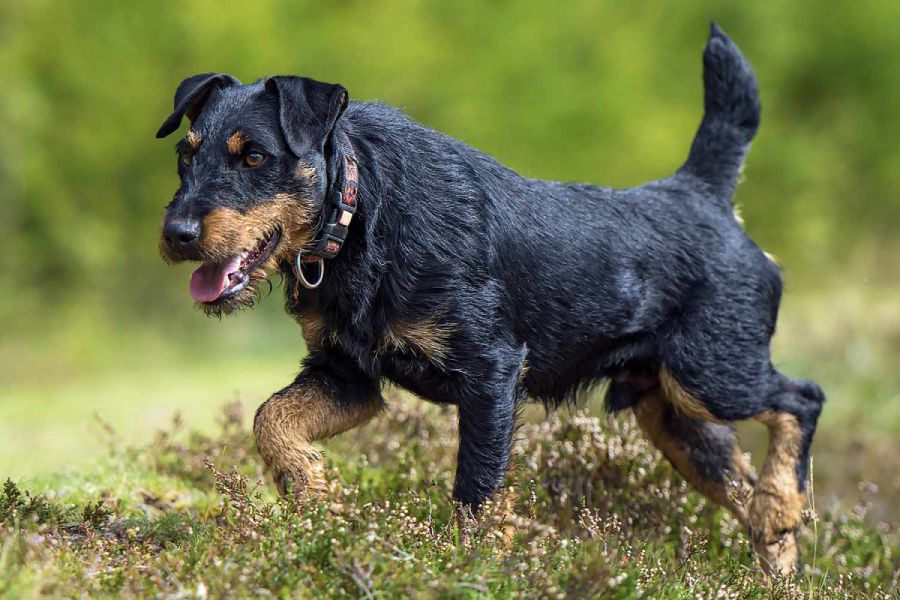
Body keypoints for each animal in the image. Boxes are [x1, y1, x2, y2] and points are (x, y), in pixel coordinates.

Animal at [155, 23, 824, 576]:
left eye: (254, 155)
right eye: (185, 154)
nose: (177, 234)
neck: (361, 212)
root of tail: (703, 193)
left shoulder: (489, 374)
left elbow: (476, 491)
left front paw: (469, 570)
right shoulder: (347, 375)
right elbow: (272, 418)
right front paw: (314, 496)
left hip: (712, 374)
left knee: (802, 398)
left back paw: (779, 507)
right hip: (675, 416)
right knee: (740, 479)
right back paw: (776, 548)